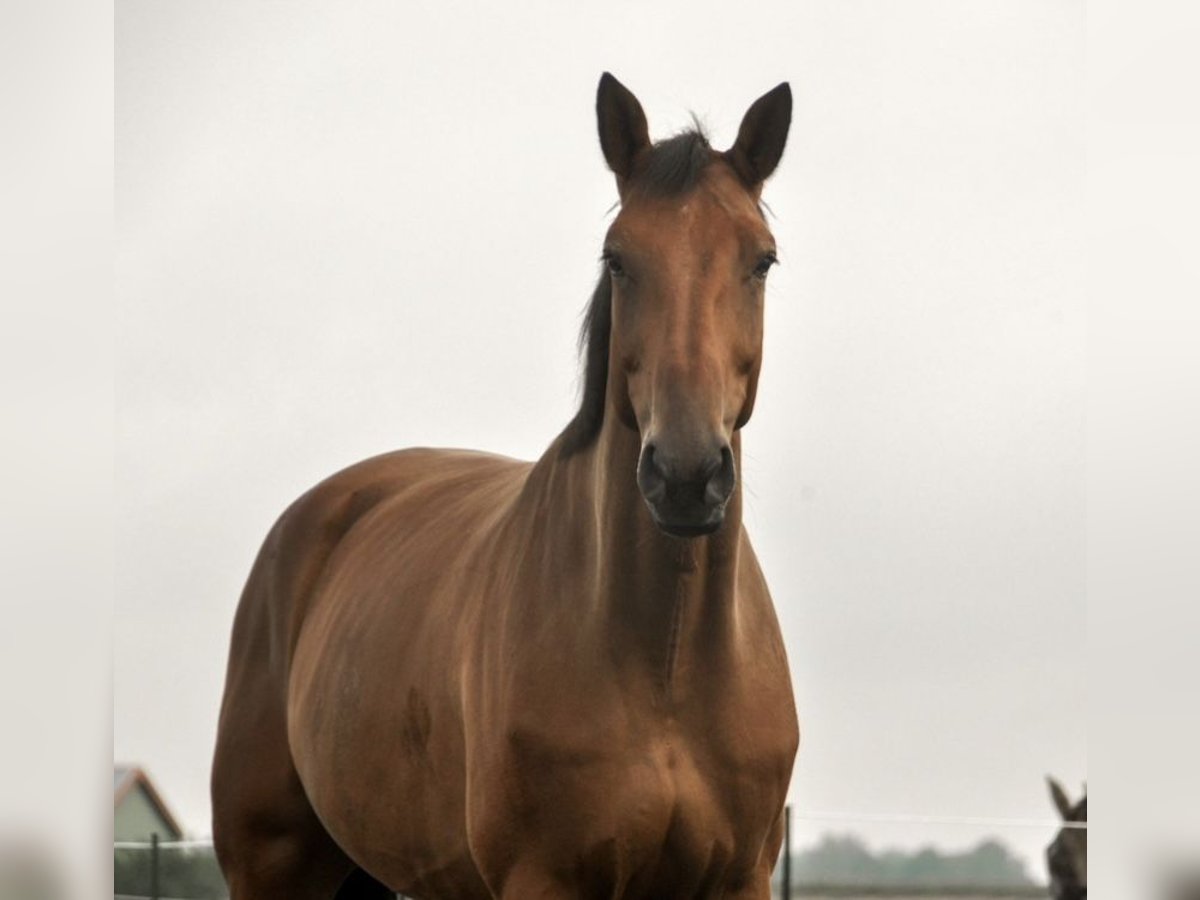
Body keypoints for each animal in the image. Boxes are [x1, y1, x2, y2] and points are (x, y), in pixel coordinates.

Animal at [211, 75, 801, 900]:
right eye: (618, 259)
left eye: (763, 261)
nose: (686, 476)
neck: (666, 664)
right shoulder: (541, 877)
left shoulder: (740, 878)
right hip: (272, 866)